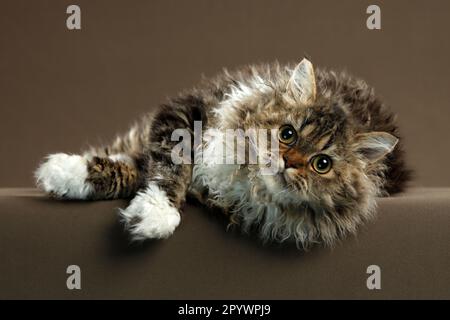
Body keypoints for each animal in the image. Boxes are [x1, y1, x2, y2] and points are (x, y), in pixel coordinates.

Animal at [35, 59, 410, 248]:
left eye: (322, 164)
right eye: (287, 133)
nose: (289, 163)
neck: (246, 177)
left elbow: (143, 171)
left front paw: (151, 216)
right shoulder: (184, 118)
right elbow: (166, 169)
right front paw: (64, 173)